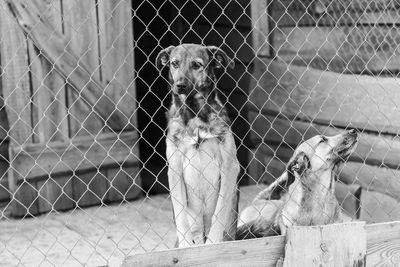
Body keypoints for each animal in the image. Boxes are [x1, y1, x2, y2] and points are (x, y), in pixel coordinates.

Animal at [156, 44, 239, 249]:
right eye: (174, 63)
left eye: (196, 65)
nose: (180, 85)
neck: (194, 114)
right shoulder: (175, 169)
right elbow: (180, 215)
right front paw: (186, 245)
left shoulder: (229, 166)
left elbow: (219, 211)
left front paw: (213, 242)